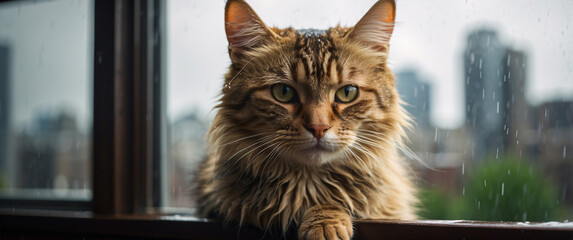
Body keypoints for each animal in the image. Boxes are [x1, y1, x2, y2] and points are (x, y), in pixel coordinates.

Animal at [196, 0, 416, 238]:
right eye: (283, 92)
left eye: (347, 92)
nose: (319, 127)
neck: (308, 185)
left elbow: (334, 200)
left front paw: (325, 223)